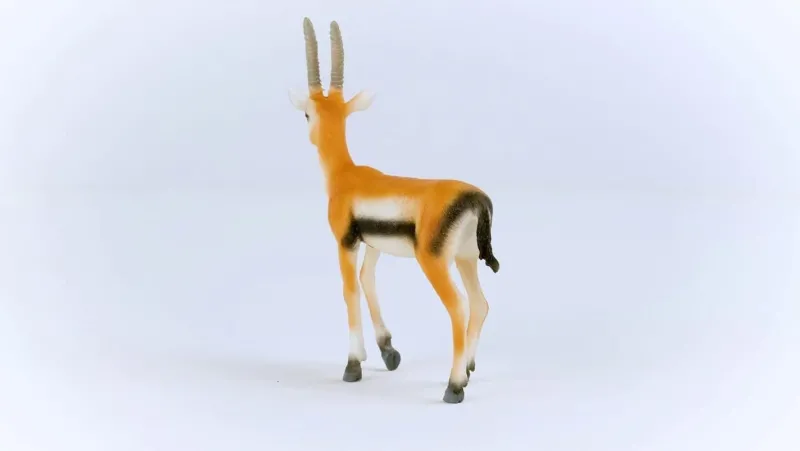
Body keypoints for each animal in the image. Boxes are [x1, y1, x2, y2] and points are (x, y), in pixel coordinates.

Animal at [288, 17, 500, 404]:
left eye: (307, 114)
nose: (309, 134)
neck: (347, 175)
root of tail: (476, 199)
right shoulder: (374, 245)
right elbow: (367, 280)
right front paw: (388, 352)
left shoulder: (345, 242)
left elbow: (350, 290)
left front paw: (353, 365)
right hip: (465, 258)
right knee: (480, 304)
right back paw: (468, 370)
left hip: (435, 263)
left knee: (459, 307)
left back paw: (454, 386)